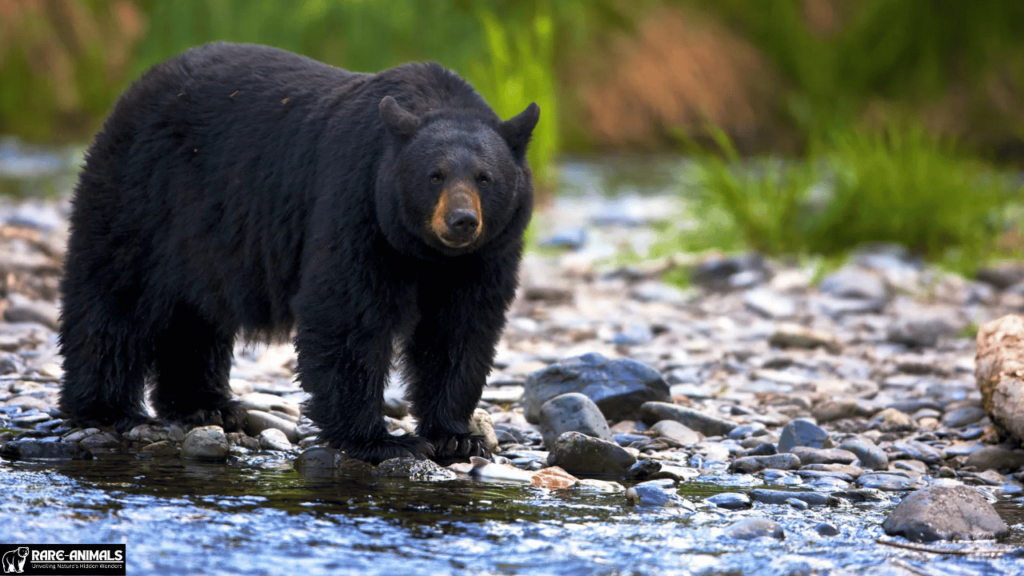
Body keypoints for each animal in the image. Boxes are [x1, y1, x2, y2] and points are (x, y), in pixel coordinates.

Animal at [57, 41, 540, 461]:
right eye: (434, 175)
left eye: (484, 178)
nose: (462, 221)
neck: (426, 253)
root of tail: (138, 88)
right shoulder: (356, 204)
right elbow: (349, 314)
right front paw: (380, 440)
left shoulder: (484, 255)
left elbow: (460, 330)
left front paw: (456, 436)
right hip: (143, 195)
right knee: (115, 298)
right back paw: (106, 408)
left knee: (194, 317)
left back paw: (207, 405)